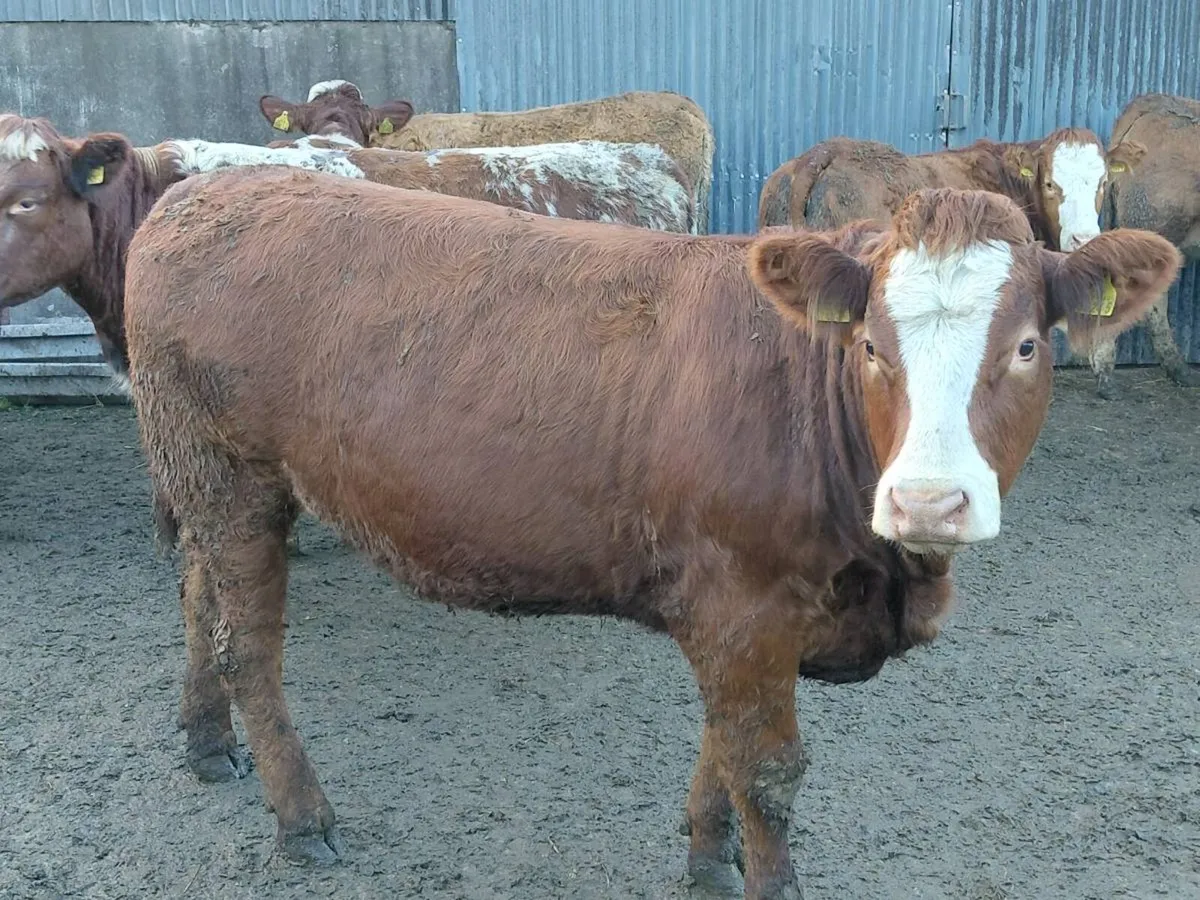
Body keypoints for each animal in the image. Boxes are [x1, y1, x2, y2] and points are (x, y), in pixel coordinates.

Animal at [123, 165, 1179, 898]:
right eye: (872, 347)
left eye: (1029, 345)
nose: (927, 500)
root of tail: (201, 190)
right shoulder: (743, 601)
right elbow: (768, 770)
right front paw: (761, 874)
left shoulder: (742, 614)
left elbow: (723, 746)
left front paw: (707, 856)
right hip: (234, 476)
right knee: (251, 651)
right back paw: (301, 818)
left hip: (203, 477)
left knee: (198, 598)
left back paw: (205, 742)